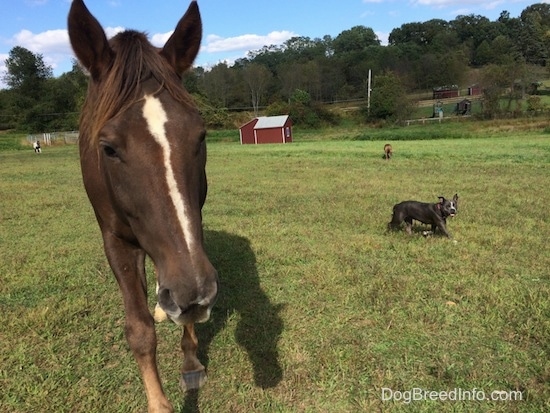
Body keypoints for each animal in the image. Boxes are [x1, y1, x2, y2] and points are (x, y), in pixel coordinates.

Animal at [70, 1, 221, 410]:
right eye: (107, 148)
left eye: (200, 136)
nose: (194, 293)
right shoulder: (116, 241)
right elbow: (139, 329)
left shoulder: (191, 233)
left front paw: (190, 362)